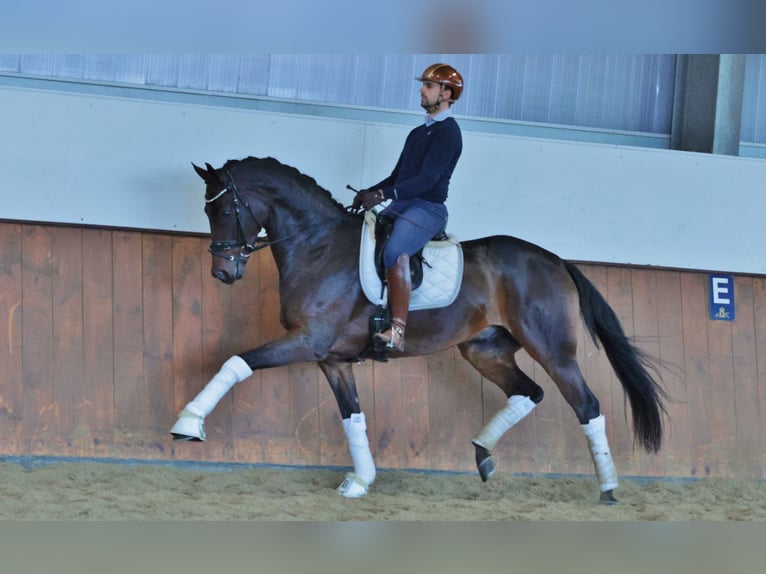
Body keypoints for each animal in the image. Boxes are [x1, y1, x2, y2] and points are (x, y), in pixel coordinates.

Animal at [170, 155, 668, 504]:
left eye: (226, 209)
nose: (223, 273)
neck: (318, 246)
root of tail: (556, 260)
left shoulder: (308, 342)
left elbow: (235, 361)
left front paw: (188, 425)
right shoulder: (332, 359)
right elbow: (352, 417)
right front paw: (361, 480)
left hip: (552, 350)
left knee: (586, 404)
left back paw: (608, 488)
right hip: (485, 350)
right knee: (528, 392)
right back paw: (483, 456)